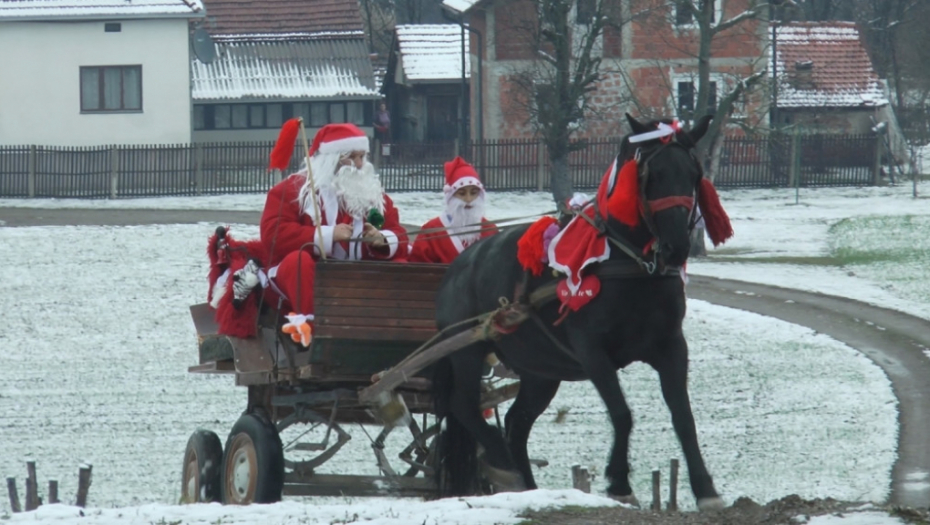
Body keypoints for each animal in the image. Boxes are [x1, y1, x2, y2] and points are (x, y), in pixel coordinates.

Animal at [432, 113, 728, 508]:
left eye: (694, 174)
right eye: (651, 175)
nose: (677, 246)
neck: (629, 265)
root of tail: (460, 265)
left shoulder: (671, 347)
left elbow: (683, 416)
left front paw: (705, 489)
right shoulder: (592, 351)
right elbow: (622, 413)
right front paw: (620, 482)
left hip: (540, 369)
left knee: (516, 422)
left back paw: (526, 483)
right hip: (466, 350)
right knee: (464, 406)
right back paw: (503, 462)